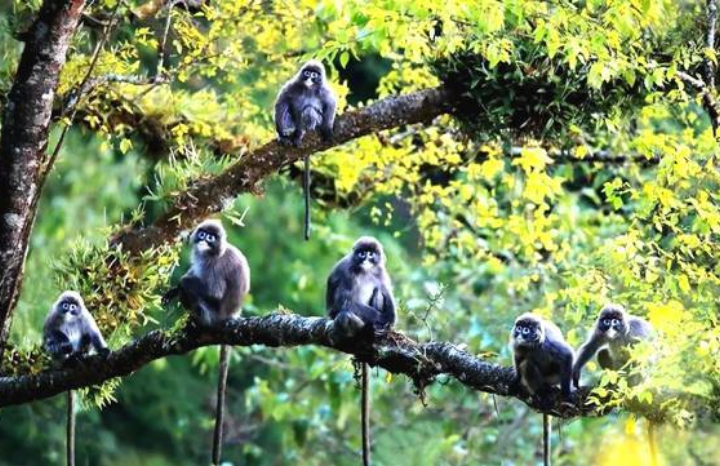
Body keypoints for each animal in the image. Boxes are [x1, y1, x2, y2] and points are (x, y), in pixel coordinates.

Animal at [42, 292, 108, 466]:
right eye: (65, 305)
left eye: (73, 307)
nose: (69, 311)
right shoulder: (53, 314)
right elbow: (49, 333)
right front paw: (64, 342)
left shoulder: (85, 316)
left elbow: (93, 333)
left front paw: (104, 351)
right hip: (57, 359)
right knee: (53, 343)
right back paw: (68, 359)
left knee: (86, 338)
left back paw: (80, 356)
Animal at [162, 219, 252, 466]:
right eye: (202, 234)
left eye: (211, 238)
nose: (203, 239)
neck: (212, 253)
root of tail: (231, 316)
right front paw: (173, 290)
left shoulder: (214, 266)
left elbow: (213, 291)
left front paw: (180, 284)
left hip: (210, 315)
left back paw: (194, 321)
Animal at [274, 59, 338, 240]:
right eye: (307, 73)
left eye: (314, 75)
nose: (309, 77)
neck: (309, 88)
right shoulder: (293, 85)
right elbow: (282, 100)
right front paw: (280, 132)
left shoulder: (324, 91)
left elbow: (331, 104)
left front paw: (328, 128)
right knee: (287, 109)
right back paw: (288, 134)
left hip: (313, 121)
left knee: (309, 111)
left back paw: (301, 133)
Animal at [324, 237, 394, 466]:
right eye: (362, 253)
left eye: (371, 254)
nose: (366, 258)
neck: (364, 271)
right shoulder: (347, 271)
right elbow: (345, 302)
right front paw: (378, 322)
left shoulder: (381, 272)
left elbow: (386, 296)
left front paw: (387, 323)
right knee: (344, 314)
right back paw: (364, 329)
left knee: (379, 292)